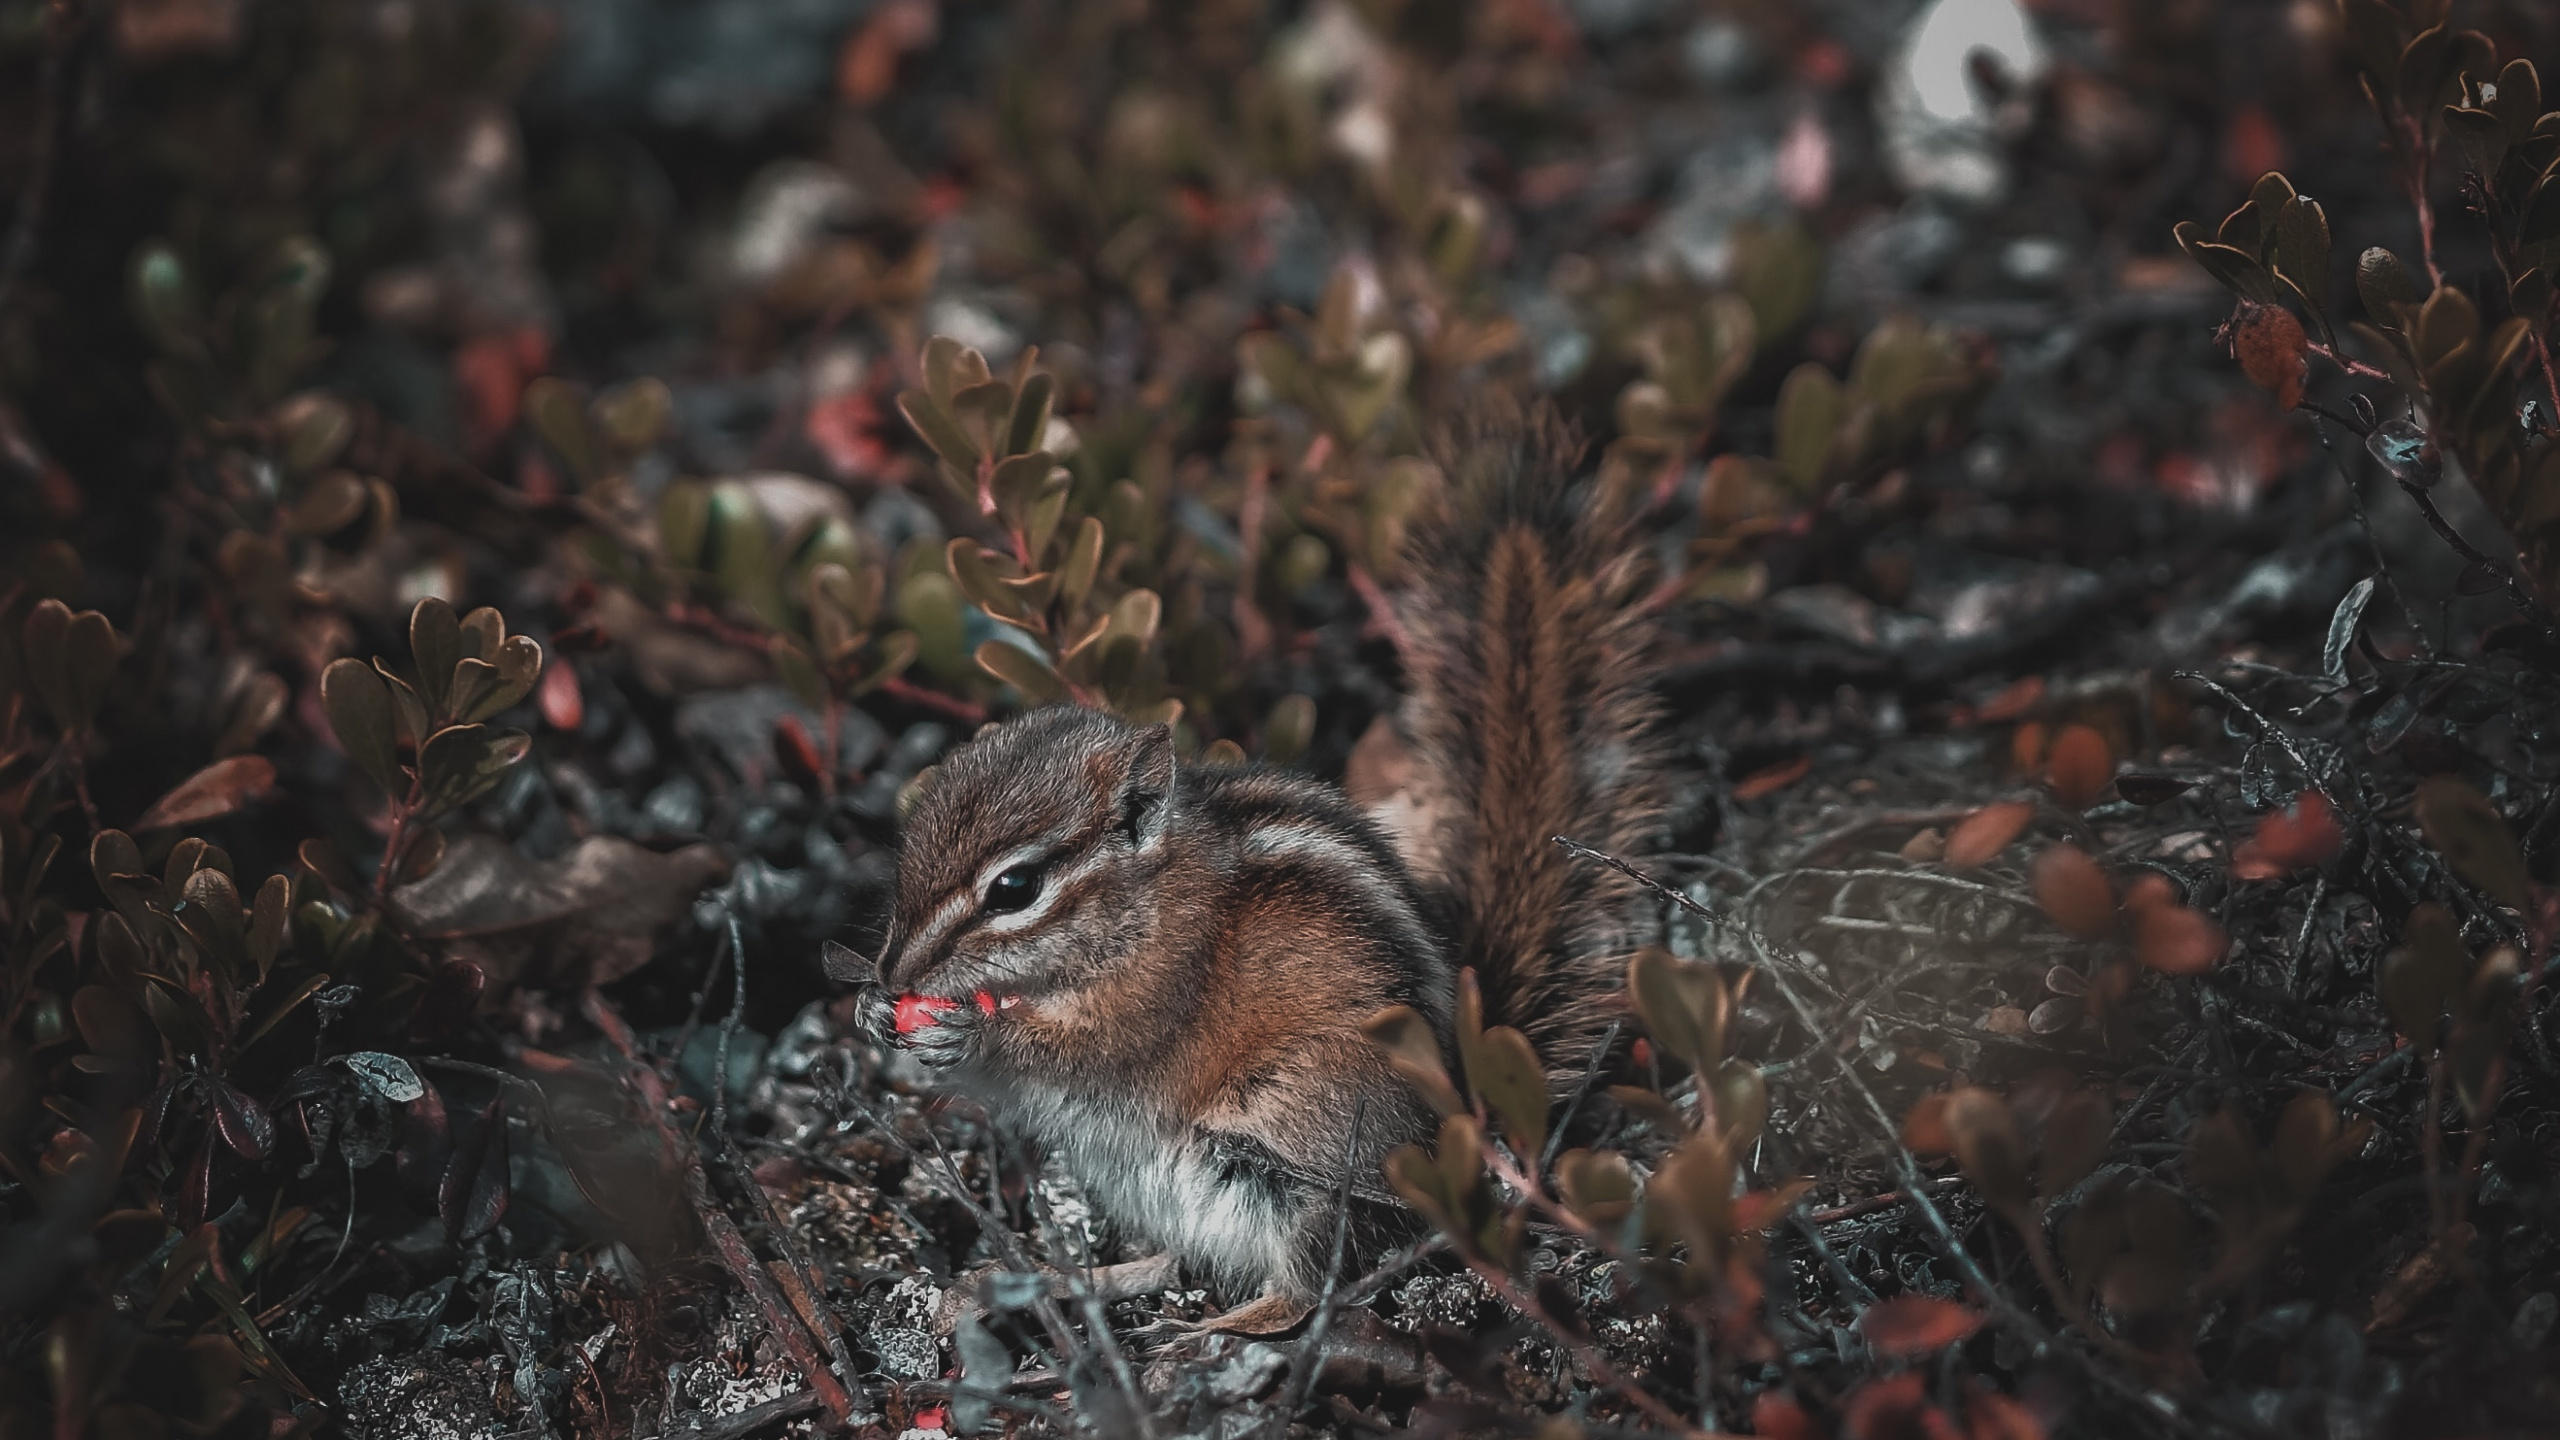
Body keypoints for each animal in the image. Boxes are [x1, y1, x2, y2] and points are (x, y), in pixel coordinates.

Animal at [839, 403, 1671, 1330]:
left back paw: (1213, 1334)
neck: (1144, 903)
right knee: (1174, 1259)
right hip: (1143, 1182)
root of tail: (1467, 1101)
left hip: (1290, 1144)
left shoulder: (1156, 993)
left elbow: (1087, 1050)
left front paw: (972, 1029)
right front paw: (874, 1015)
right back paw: (1078, 1282)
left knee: (1310, 1281)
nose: (893, 974)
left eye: (1015, 888)